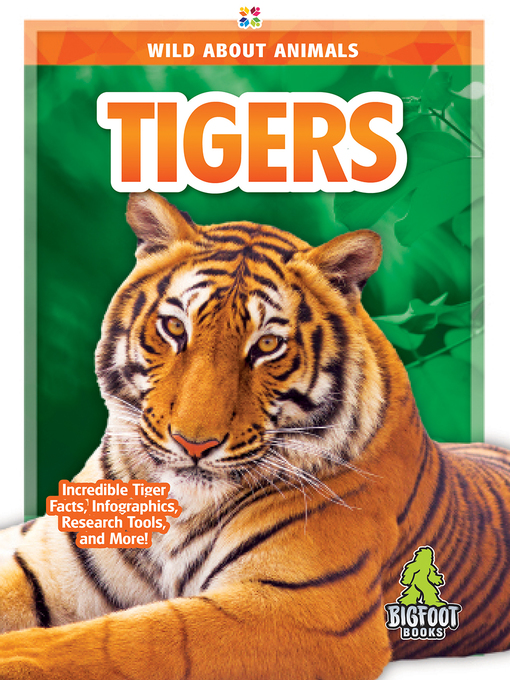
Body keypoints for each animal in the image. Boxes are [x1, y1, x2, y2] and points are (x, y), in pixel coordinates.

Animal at [0, 189, 509, 680]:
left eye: (267, 345)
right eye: (174, 327)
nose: (194, 444)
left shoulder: (301, 608)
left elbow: (126, 643)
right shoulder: (44, 561)